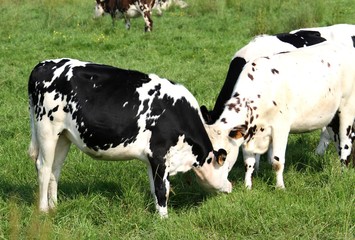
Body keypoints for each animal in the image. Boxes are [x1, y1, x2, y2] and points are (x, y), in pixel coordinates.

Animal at [28, 57, 234, 218]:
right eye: (226, 168)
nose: (230, 187)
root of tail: (42, 65)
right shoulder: (159, 154)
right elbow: (162, 190)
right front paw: (164, 219)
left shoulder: (153, 160)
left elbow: (155, 189)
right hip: (46, 129)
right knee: (43, 167)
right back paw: (44, 210)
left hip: (63, 136)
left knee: (55, 169)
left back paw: (54, 206)